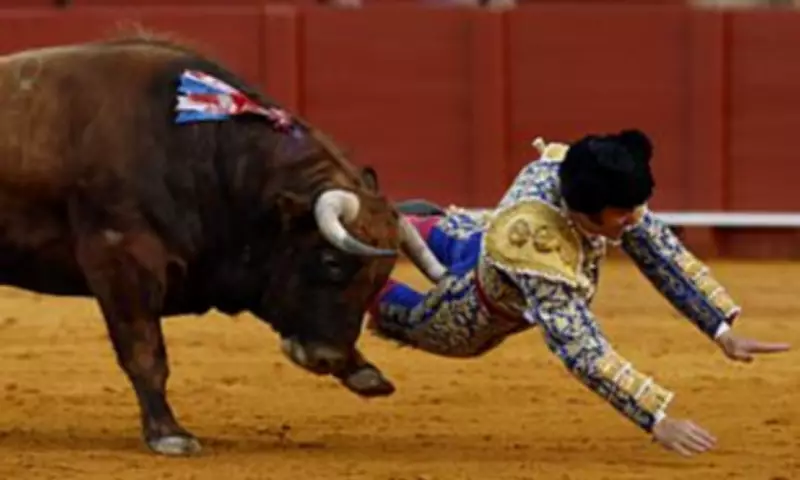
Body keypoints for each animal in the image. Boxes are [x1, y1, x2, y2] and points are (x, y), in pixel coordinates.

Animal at [0, 36, 446, 456]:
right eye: (331, 261)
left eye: (380, 277)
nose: (328, 357)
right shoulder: (120, 260)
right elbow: (145, 351)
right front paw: (169, 435)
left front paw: (362, 370)